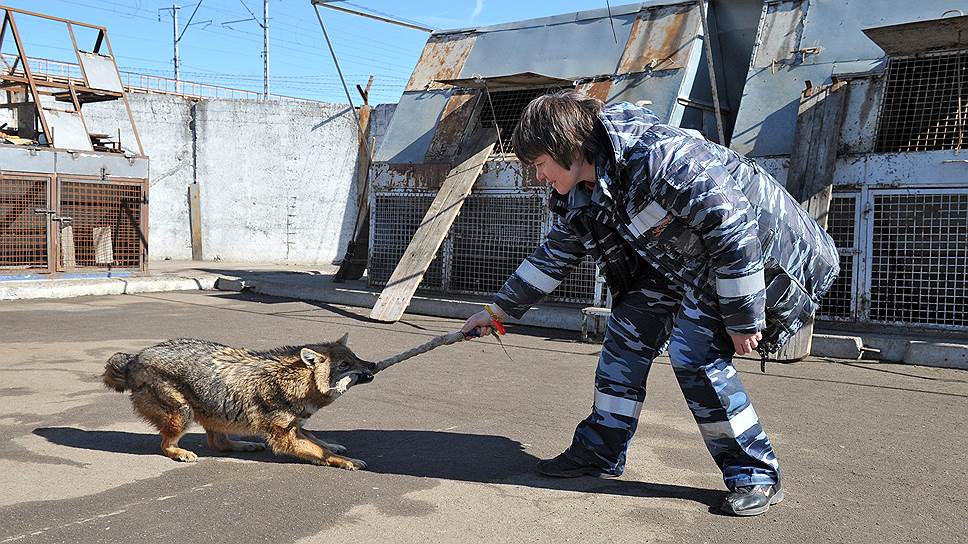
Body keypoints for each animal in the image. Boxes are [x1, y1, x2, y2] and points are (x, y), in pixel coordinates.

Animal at [102, 334, 374, 470]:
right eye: (345, 365)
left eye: (355, 357)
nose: (372, 365)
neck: (293, 381)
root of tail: (135, 357)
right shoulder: (285, 438)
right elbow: (321, 452)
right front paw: (348, 462)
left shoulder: (296, 426)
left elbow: (318, 440)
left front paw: (335, 445)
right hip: (183, 414)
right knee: (166, 445)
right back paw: (181, 453)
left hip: (219, 409)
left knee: (218, 443)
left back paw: (245, 445)